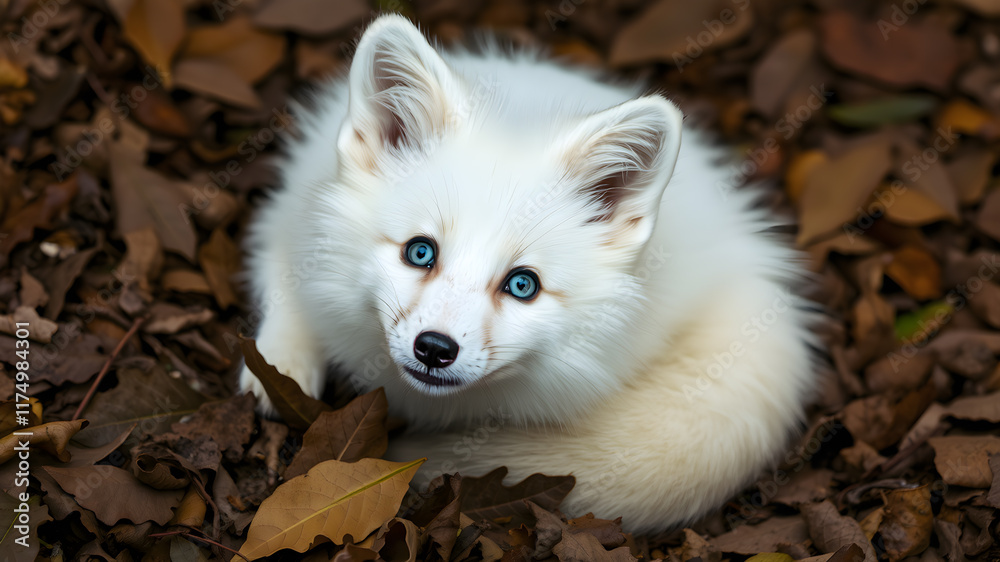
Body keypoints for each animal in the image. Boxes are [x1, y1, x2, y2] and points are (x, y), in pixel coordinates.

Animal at [238, 14, 819, 533]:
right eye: (420, 252)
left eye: (523, 285)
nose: (434, 349)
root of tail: (746, 245)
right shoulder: (289, 214)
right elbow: (282, 280)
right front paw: (281, 365)